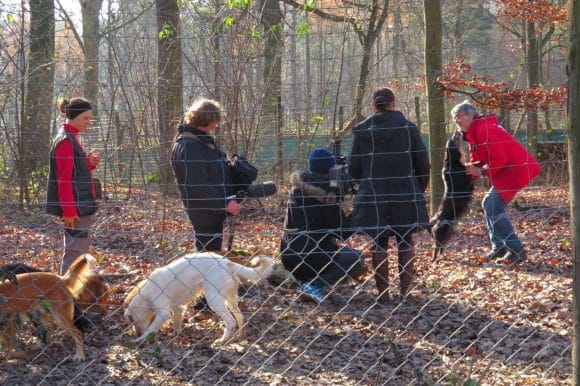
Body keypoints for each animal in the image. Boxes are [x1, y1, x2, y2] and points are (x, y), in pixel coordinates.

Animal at [123, 252, 274, 346]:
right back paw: (239, 338)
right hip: (230, 301)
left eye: (133, 322)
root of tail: (225, 262)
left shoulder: (164, 313)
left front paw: (139, 340)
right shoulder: (178, 309)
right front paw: (175, 338)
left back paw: (222, 341)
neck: (145, 294)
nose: (136, 333)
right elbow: (176, 328)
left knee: (231, 322)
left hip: (214, 301)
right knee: (241, 318)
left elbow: (150, 330)